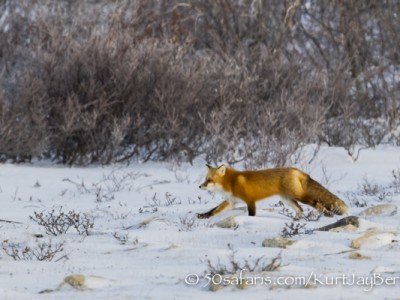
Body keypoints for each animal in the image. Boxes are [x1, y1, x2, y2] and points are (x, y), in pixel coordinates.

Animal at [197, 164, 346, 220]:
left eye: (209, 180)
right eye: (205, 179)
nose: (199, 186)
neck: (231, 182)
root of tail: (296, 170)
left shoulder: (250, 201)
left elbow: (251, 215)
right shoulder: (231, 201)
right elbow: (214, 210)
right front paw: (204, 216)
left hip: (299, 196)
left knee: (316, 203)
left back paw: (327, 214)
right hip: (288, 199)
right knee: (300, 210)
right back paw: (295, 221)